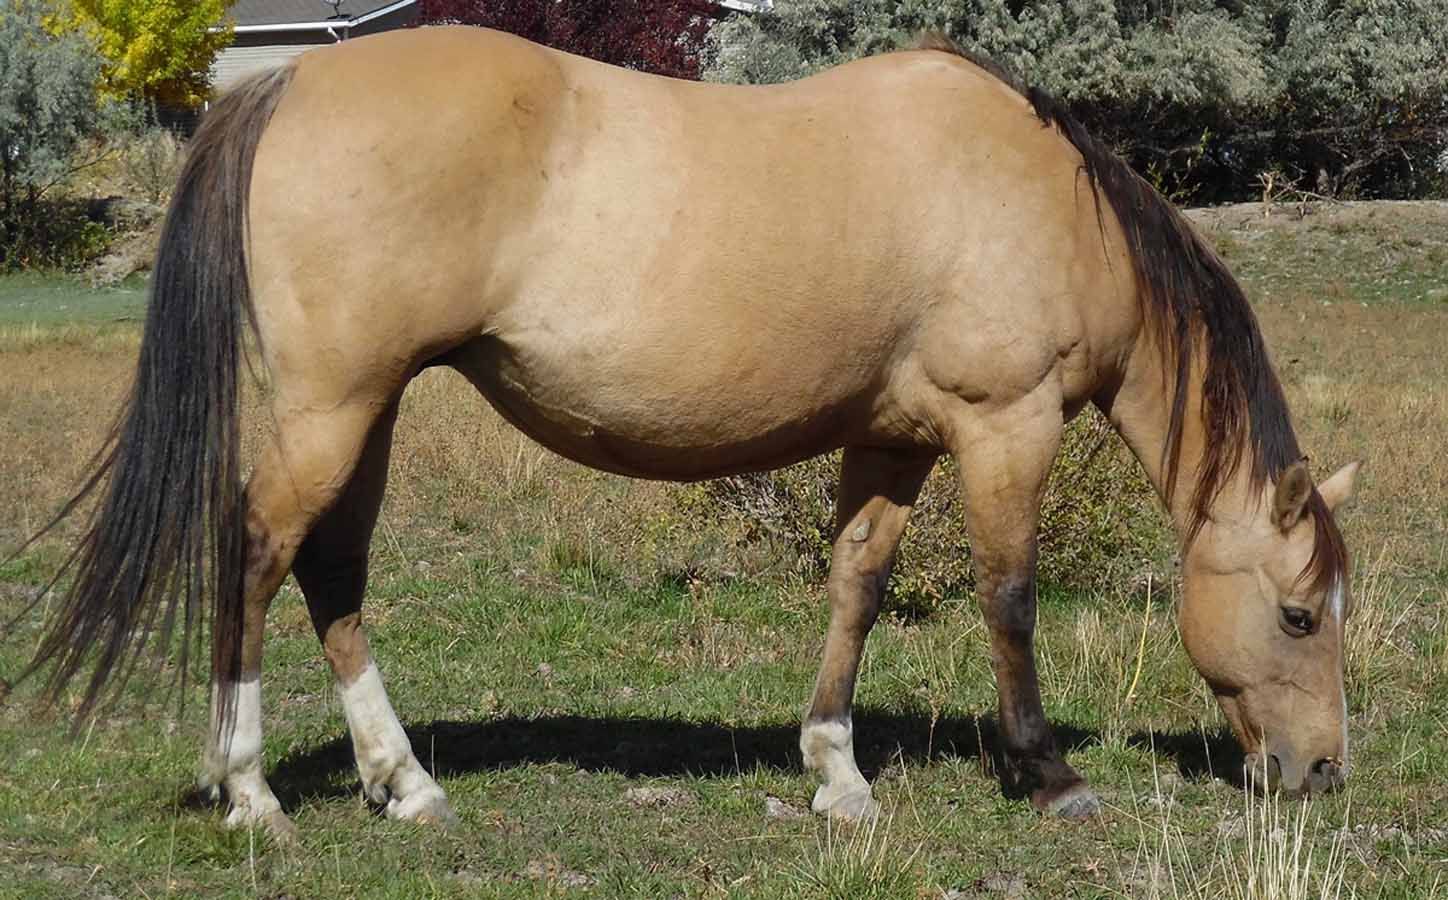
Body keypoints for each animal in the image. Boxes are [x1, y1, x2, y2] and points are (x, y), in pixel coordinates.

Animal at [10, 27, 1358, 838]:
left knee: (331, 573)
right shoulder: (1001, 428)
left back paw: (405, 783)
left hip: (365, 409)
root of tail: (285, 80)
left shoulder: (894, 440)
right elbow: (1009, 597)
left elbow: (855, 587)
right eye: (1297, 614)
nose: (1319, 773)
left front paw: (836, 772)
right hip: (328, 408)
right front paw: (1047, 775)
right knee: (253, 559)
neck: (1033, 197)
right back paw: (248, 793)